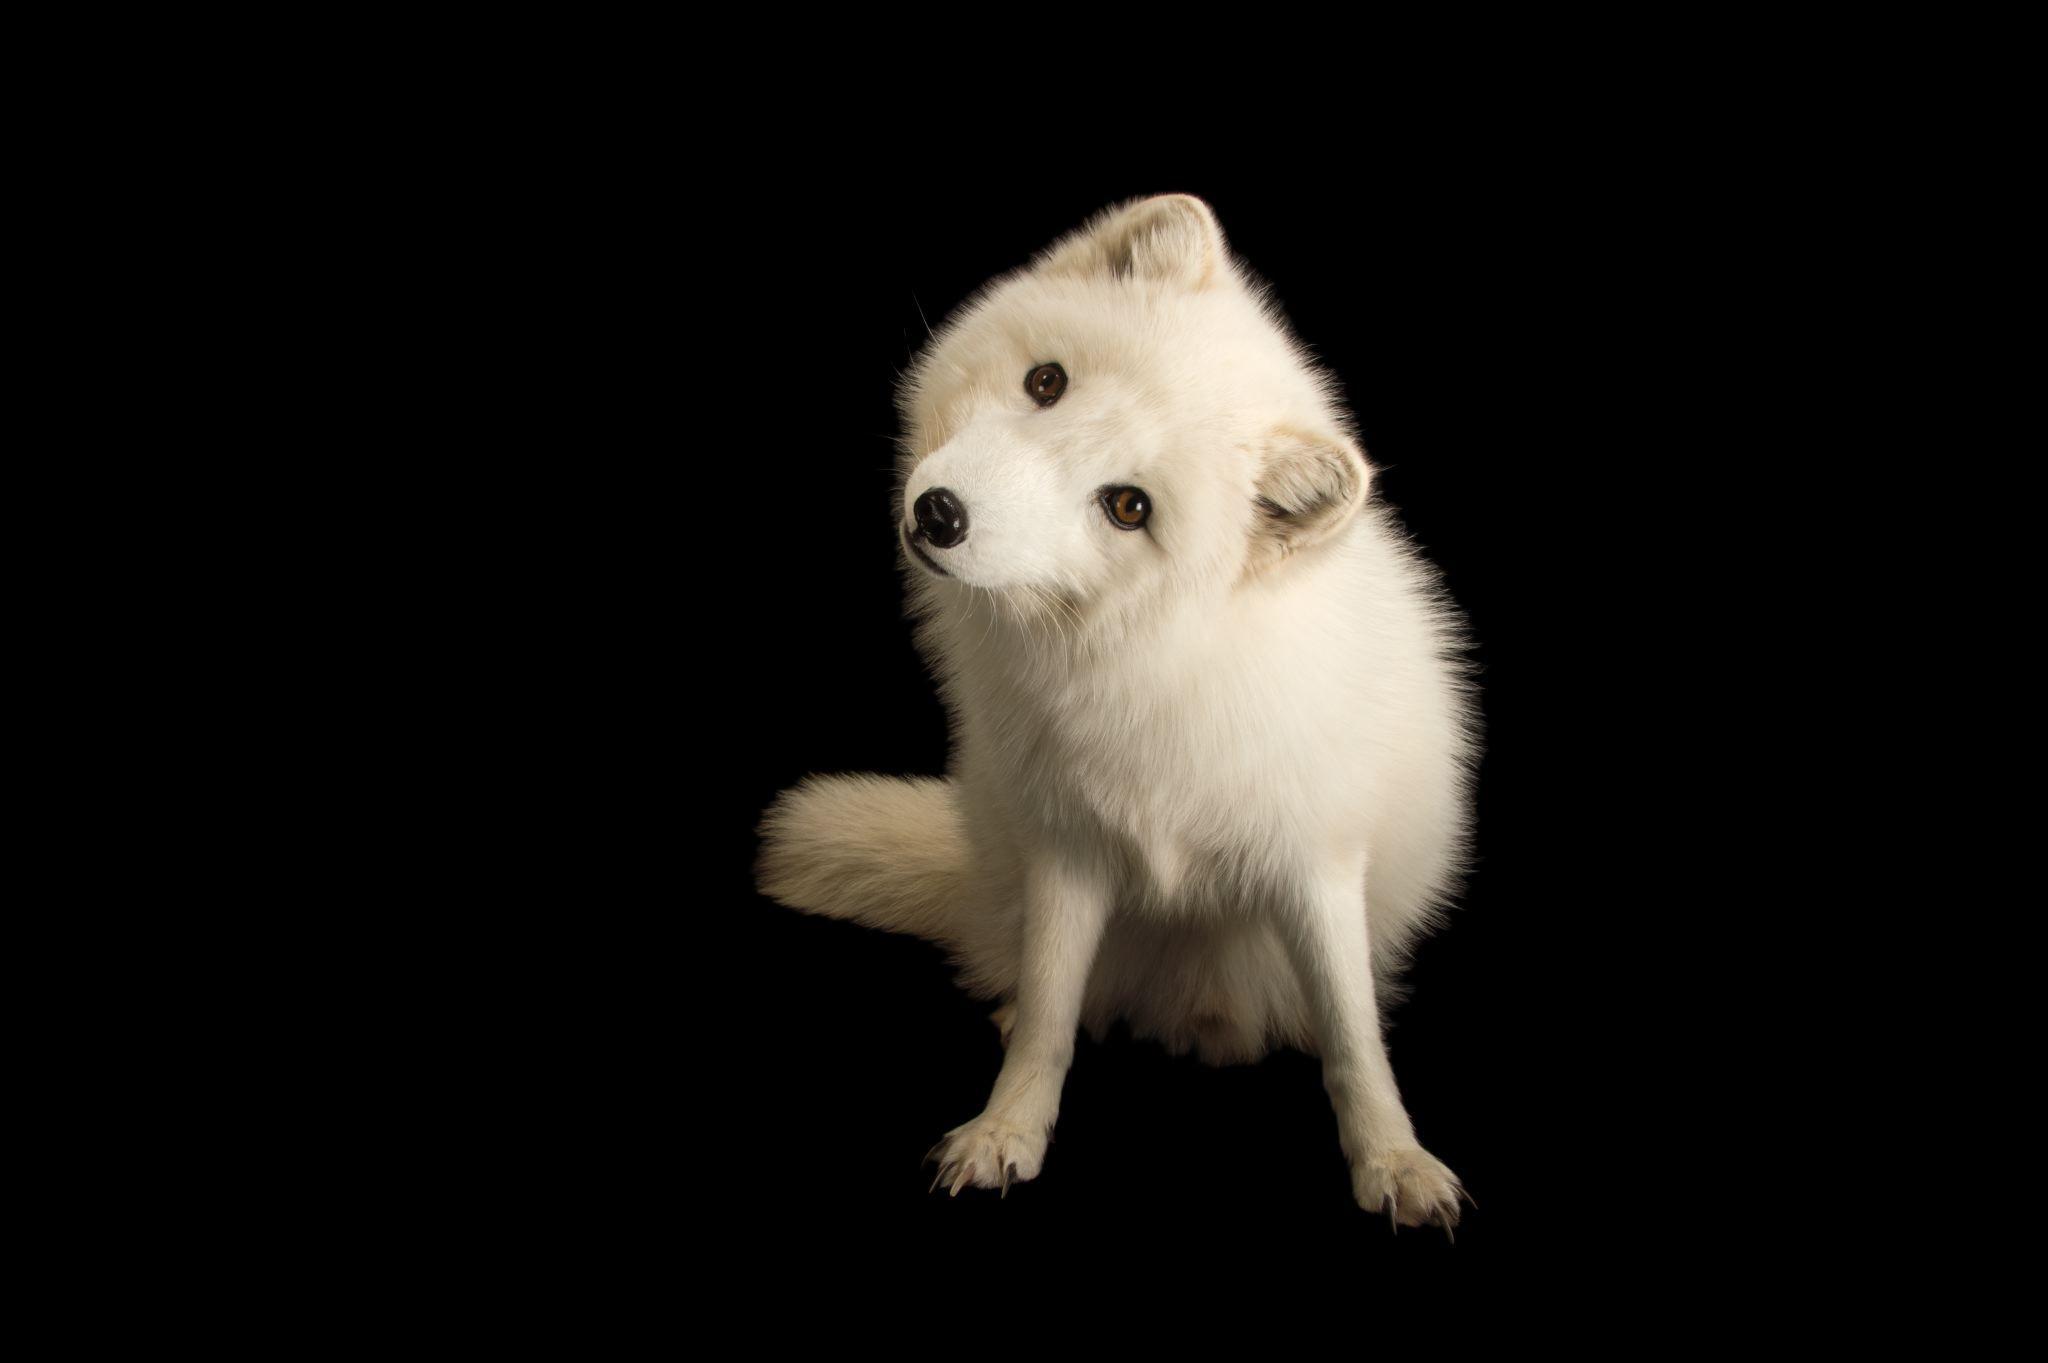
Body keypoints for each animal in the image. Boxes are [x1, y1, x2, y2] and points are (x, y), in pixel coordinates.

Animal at [756, 193, 1478, 1231]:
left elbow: (1353, 1038)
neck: (1157, 665)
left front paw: (1395, 1158)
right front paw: (1006, 1129)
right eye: (1045, 382)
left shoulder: (1318, 862)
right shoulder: (1068, 850)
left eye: (1128, 507)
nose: (939, 515)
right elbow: (1052, 1017)